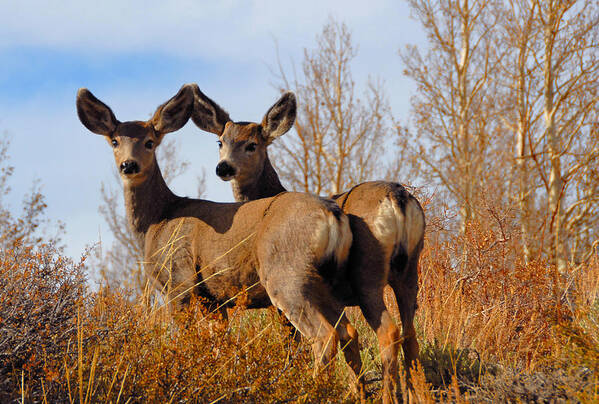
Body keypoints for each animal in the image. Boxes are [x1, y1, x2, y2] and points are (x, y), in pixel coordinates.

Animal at [77, 85, 368, 398]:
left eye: (150, 142)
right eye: (115, 141)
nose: (128, 165)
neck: (158, 220)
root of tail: (333, 215)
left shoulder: (179, 281)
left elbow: (182, 340)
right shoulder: (214, 299)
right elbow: (218, 346)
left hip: (287, 274)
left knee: (324, 334)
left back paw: (310, 390)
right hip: (324, 281)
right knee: (348, 331)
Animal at [192, 88, 426, 404]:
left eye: (252, 145)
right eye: (221, 141)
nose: (224, 167)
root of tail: (398, 198)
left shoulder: (281, 302)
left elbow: (293, 342)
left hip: (367, 271)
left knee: (388, 331)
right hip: (410, 269)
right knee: (411, 332)